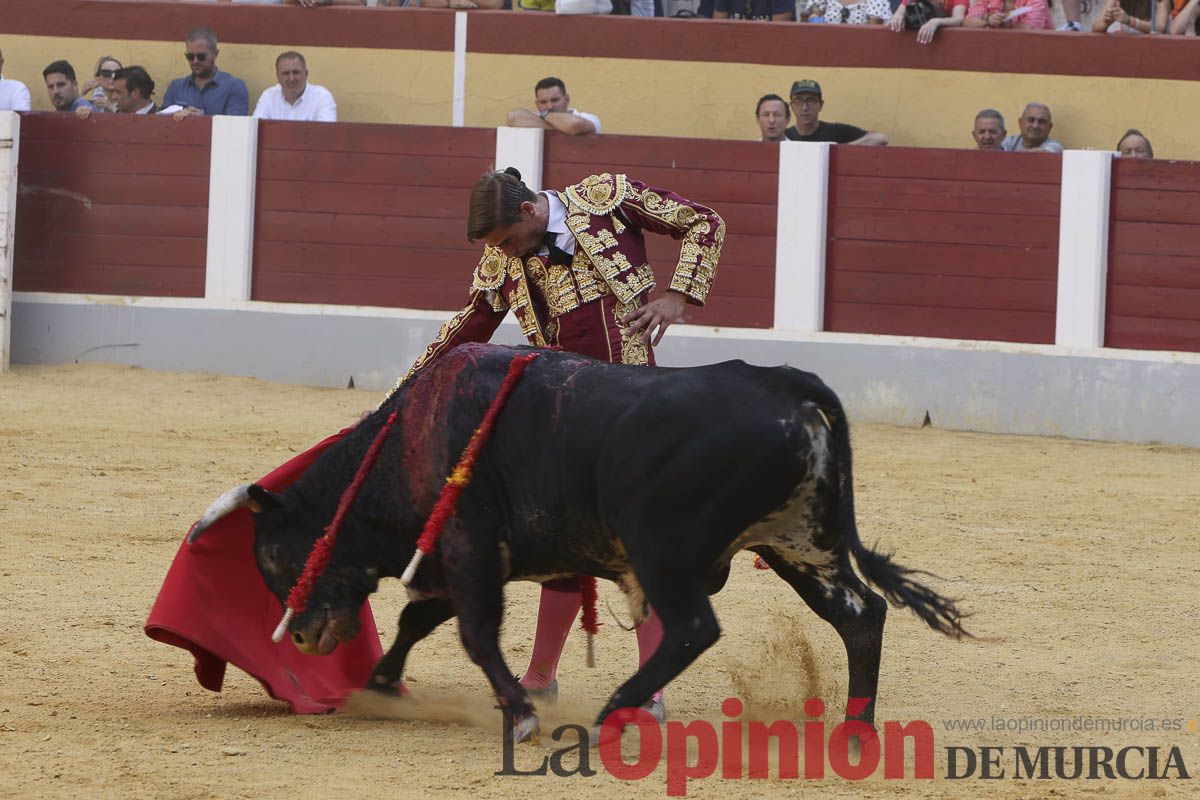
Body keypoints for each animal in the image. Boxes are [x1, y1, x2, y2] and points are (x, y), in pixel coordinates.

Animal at [189, 345, 964, 738]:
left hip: (665, 546)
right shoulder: (465, 557)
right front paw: (381, 686)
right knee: (860, 614)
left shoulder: (470, 545)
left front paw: (523, 714)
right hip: (800, 542)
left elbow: (473, 634)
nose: (303, 637)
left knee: (694, 627)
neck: (407, 443)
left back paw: (611, 715)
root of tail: (789, 387)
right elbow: (419, 618)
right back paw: (856, 732)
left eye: (275, 555)